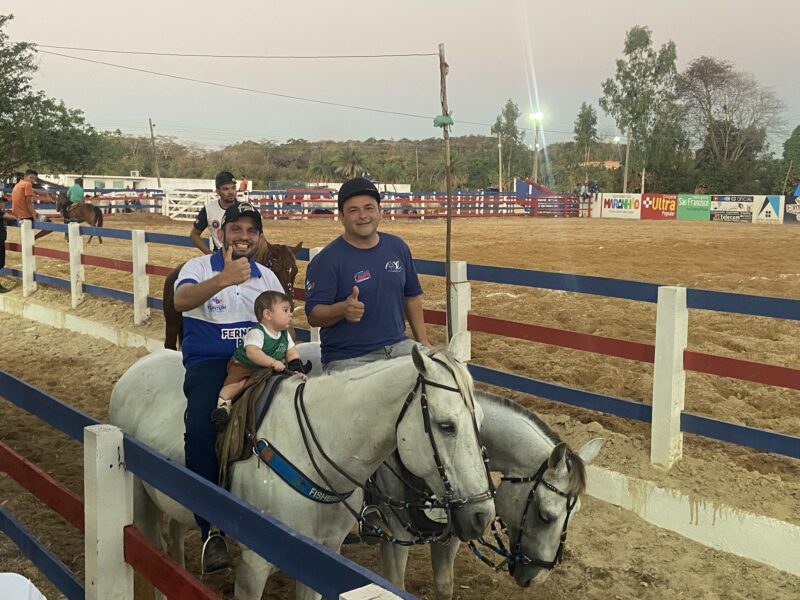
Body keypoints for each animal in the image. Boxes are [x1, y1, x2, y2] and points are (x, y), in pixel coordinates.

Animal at [109, 344, 496, 596]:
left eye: (480, 421)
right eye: (446, 425)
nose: (482, 515)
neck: (315, 452)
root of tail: (134, 371)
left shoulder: (319, 557)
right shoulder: (255, 565)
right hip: (140, 497)